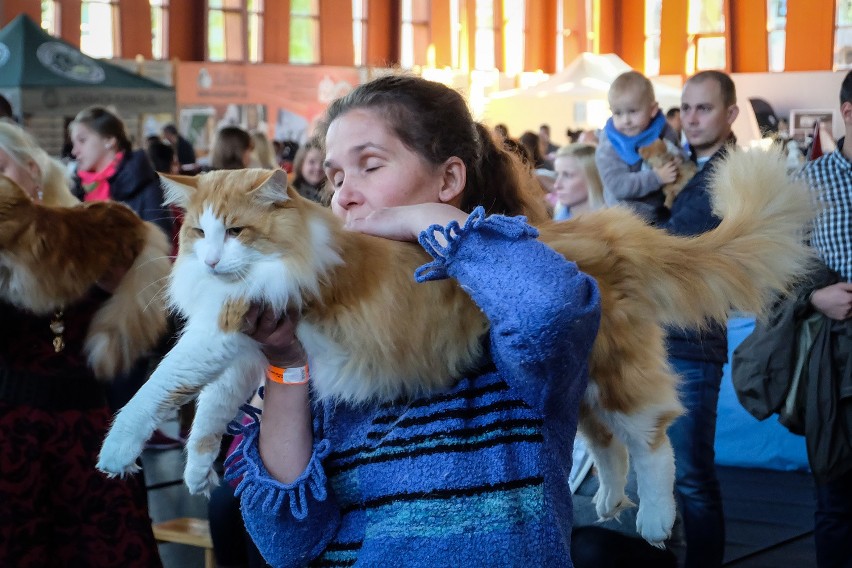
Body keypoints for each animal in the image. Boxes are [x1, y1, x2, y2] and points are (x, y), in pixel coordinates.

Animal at [98, 146, 812, 544]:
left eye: (238, 231)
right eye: (198, 233)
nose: (212, 259)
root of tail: (598, 228)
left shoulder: (225, 329)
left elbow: (157, 391)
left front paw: (118, 451)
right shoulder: (247, 349)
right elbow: (210, 411)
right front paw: (197, 469)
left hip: (616, 373)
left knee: (653, 445)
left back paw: (656, 521)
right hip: (579, 384)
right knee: (607, 446)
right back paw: (610, 500)